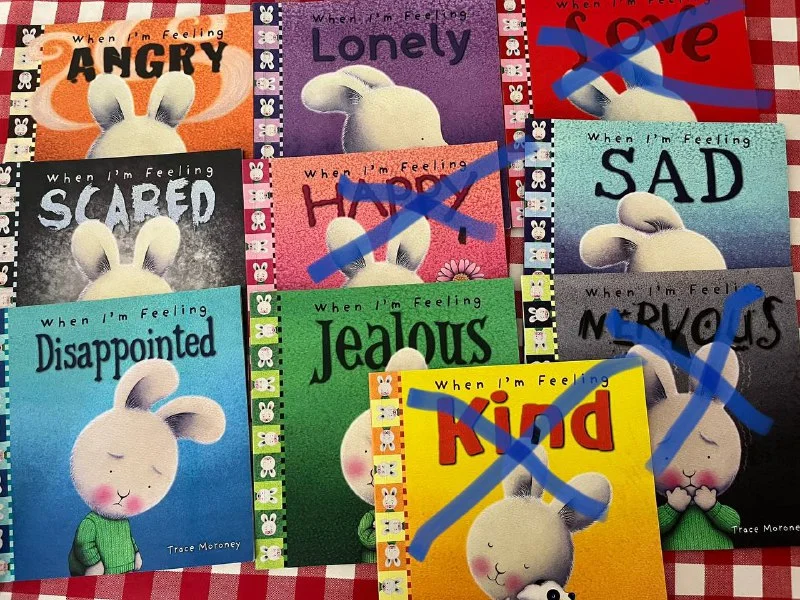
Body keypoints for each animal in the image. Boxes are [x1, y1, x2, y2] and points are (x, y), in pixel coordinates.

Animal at [68, 359, 225, 576]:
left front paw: (138, 561)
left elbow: (134, 544)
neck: (111, 519)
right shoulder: (88, 527)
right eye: (111, 467)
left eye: (149, 485)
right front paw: (96, 569)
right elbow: (87, 545)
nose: (123, 494)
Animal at [627, 343, 742, 550]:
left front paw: (706, 497)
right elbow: (662, 521)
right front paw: (678, 497)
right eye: (666, 457)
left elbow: (733, 520)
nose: (689, 473)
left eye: (708, 457)